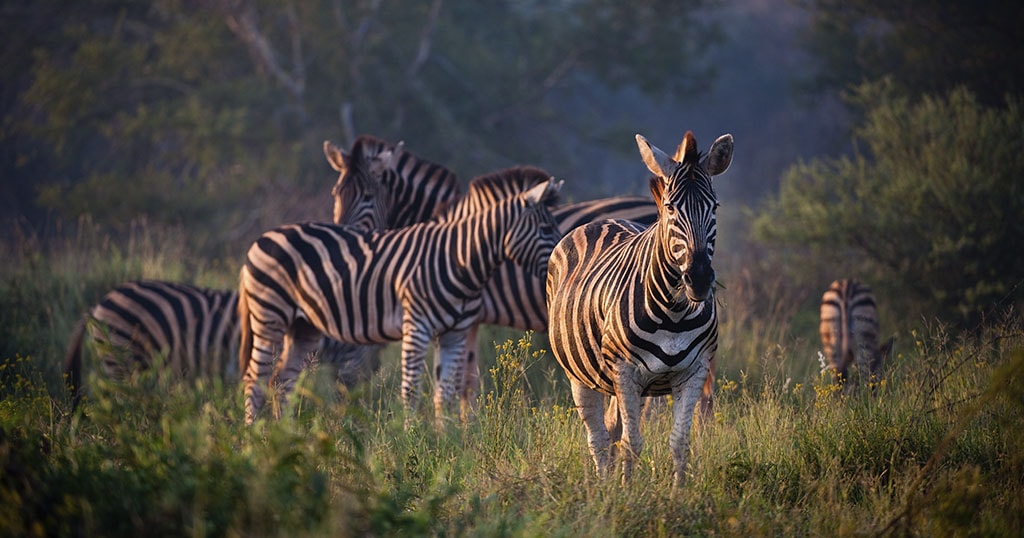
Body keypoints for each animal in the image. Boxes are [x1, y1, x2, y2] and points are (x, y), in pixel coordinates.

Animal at [236, 176, 565, 424]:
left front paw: (447, 441)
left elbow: (444, 392)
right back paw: (254, 436)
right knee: (255, 378)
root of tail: (258, 240)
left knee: (281, 381)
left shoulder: (455, 334)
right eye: (546, 228)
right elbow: (411, 390)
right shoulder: (417, 326)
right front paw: (411, 437)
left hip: (303, 325)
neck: (460, 260)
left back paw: (283, 435)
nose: (558, 262)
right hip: (269, 315)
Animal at [548, 131, 733, 485]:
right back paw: (603, 485)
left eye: (715, 207)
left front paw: (679, 493)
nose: (699, 279)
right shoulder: (625, 371)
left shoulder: (694, 371)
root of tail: (603, 220)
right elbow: (630, 443)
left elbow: (679, 442)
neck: (674, 312)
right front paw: (625, 492)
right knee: (598, 437)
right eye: (671, 208)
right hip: (581, 375)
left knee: (609, 428)